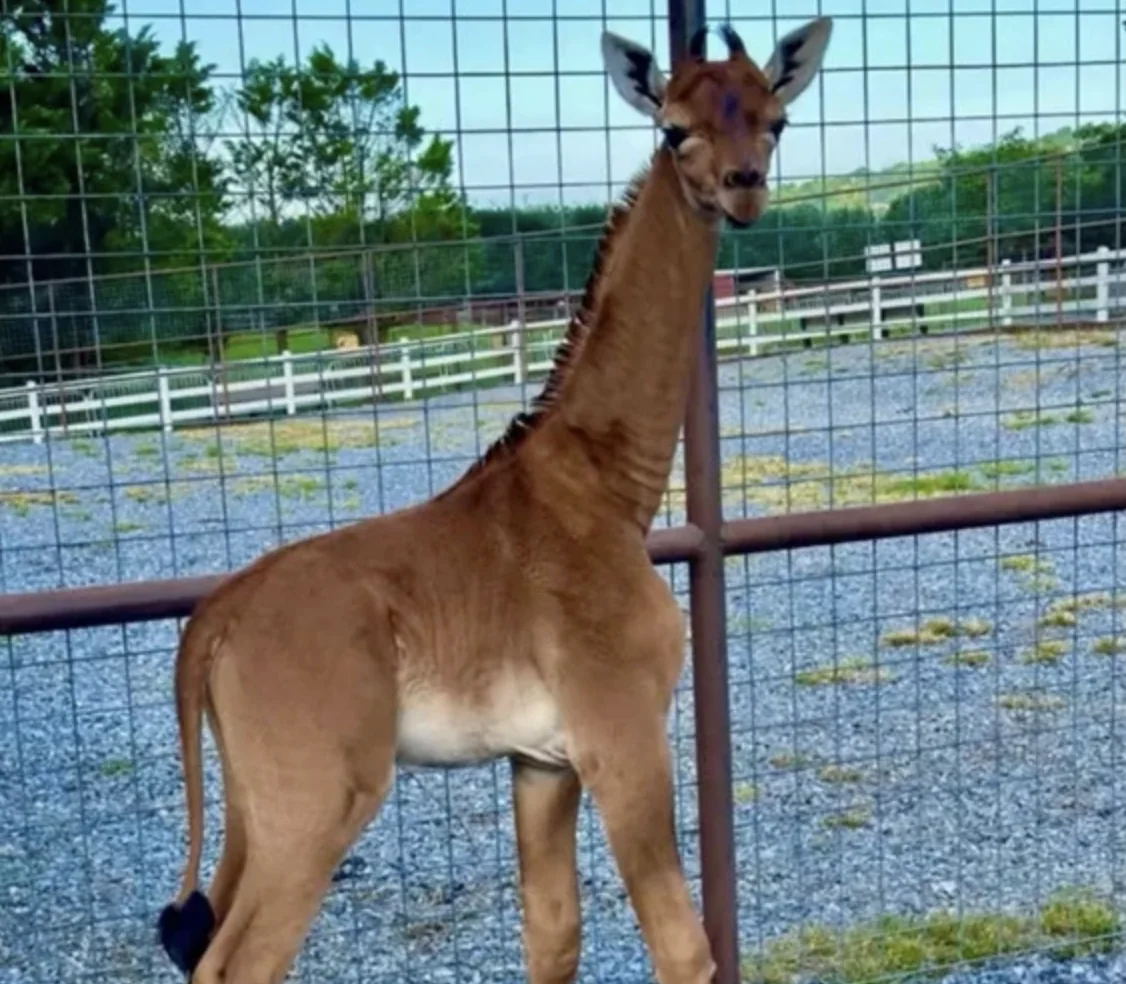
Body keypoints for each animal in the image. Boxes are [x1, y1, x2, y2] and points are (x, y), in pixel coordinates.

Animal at [157, 17, 832, 984]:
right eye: (673, 130)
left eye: (774, 120)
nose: (743, 189)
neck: (604, 488)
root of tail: (212, 625)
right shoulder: (622, 733)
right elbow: (684, 948)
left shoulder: (539, 761)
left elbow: (552, 937)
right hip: (316, 800)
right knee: (237, 963)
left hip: (255, 803)